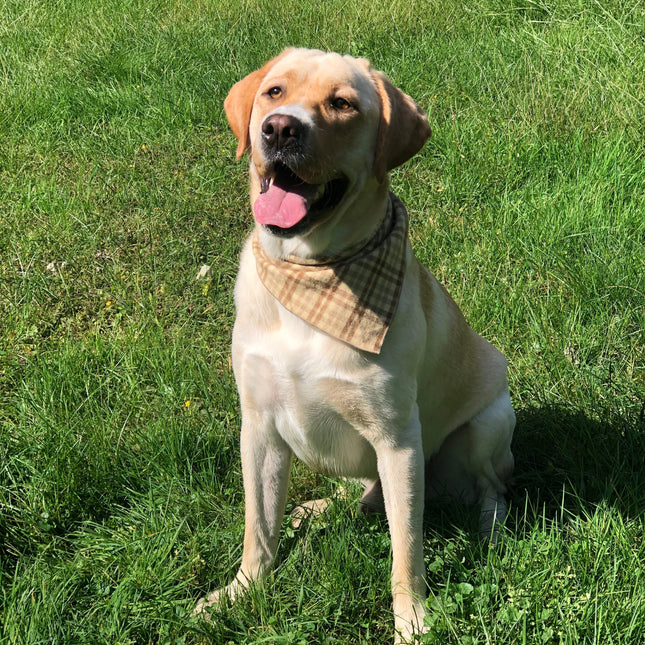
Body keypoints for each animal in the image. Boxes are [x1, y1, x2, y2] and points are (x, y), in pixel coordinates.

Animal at [194, 47, 516, 640]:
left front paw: (412, 621)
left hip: (489, 424)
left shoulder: (398, 440)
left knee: (493, 490)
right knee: (360, 490)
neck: (312, 275)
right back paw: (322, 505)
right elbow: (258, 528)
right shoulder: (258, 426)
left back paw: (490, 532)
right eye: (274, 92)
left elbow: (406, 549)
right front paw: (241, 592)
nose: (280, 129)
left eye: (342, 104)